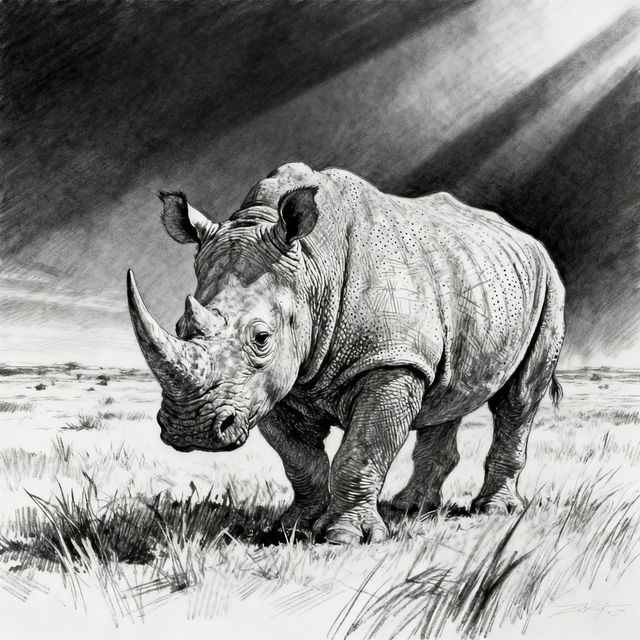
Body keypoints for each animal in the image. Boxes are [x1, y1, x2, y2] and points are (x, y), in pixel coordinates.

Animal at [127, 162, 564, 544]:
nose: (190, 429)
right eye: (180, 328)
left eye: (261, 338)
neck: (313, 268)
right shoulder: (274, 383)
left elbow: (362, 450)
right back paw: (410, 507)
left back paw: (495, 511)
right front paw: (291, 528)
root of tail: (527, 239)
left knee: (519, 399)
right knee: (446, 396)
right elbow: (299, 459)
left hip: (548, 285)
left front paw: (344, 537)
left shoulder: (390, 360)